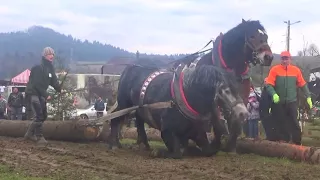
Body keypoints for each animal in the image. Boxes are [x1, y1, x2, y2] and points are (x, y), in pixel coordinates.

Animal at [107, 63, 248, 159]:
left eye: (238, 89)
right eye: (225, 90)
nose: (243, 113)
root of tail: (130, 67)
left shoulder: (198, 133)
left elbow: (209, 151)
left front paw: (192, 149)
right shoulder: (167, 132)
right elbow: (177, 152)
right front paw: (159, 152)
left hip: (138, 108)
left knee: (139, 121)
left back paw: (144, 144)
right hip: (124, 104)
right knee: (115, 118)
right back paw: (114, 144)